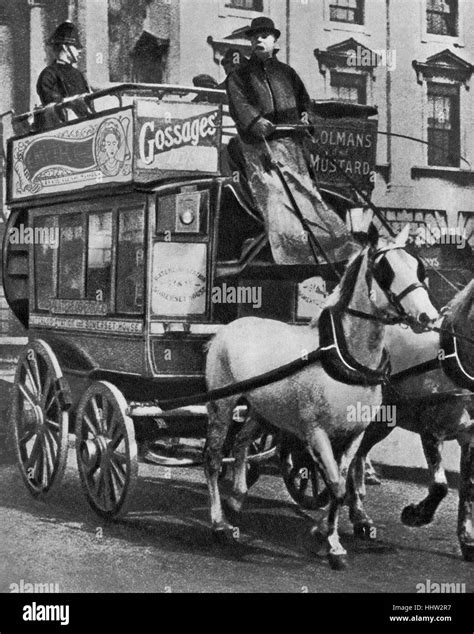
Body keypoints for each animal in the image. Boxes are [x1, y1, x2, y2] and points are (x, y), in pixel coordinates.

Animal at [202, 223, 438, 568]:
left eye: (419, 267)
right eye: (385, 270)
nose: (428, 317)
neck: (345, 357)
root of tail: (228, 327)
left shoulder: (355, 433)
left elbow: (340, 481)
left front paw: (326, 534)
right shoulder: (316, 432)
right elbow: (337, 485)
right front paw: (332, 543)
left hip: (262, 409)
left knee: (243, 440)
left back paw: (237, 496)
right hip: (222, 402)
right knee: (214, 456)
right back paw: (220, 522)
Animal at [346, 280, 472, 556]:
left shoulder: (471, 438)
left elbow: (467, 487)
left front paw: (467, 539)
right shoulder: (432, 430)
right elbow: (440, 485)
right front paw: (415, 515)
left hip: (383, 421)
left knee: (358, 456)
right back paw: (359, 516)